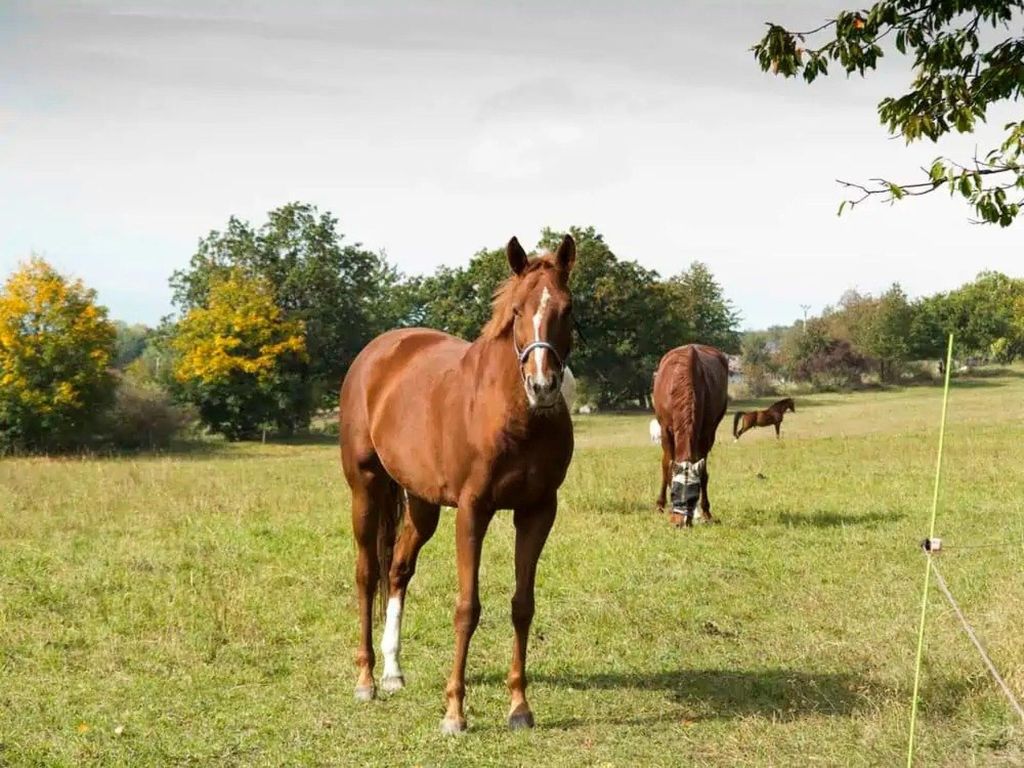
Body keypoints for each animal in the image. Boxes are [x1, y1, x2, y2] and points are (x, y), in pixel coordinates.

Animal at [337, 233, 573, 733]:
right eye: (517, 310)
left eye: (568, 309)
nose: (542, 386)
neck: (514, 417)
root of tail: (376, 353)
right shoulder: (473, 510)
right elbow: (468, 608)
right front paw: (454, 712)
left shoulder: (538, 511)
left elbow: (523, 605)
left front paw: (519, 706)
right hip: (365, 488)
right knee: (367, 574)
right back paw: (366, 679)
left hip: (422, 503)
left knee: (397, 570)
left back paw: (393, 672)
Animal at [655, 344, 729, 528]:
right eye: (674, 493)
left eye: (693, 496)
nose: (679, 522)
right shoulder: (665, 429)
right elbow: (667, 465)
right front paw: (661, 505)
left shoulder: (706, 432)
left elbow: (703, 473)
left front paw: (705, 511)